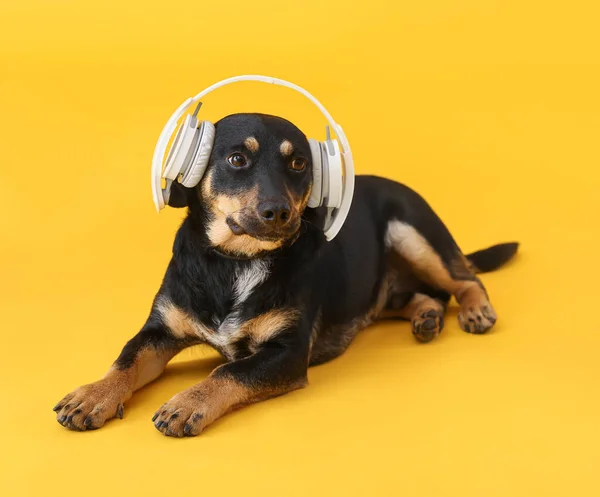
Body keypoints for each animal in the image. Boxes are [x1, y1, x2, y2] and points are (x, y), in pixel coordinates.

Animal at [54, 112, 516, 434]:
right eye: (237, 159)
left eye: (298, 164)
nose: (277, 212)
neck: (237, 261)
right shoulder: (159, 330)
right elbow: (125, 360)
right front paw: (92, 396)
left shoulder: (287, 352)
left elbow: (227, 371)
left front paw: (187, 402)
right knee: (421, 296)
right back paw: (427, 317)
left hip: (412, 233)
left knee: (465, 279)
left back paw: (475, 311)